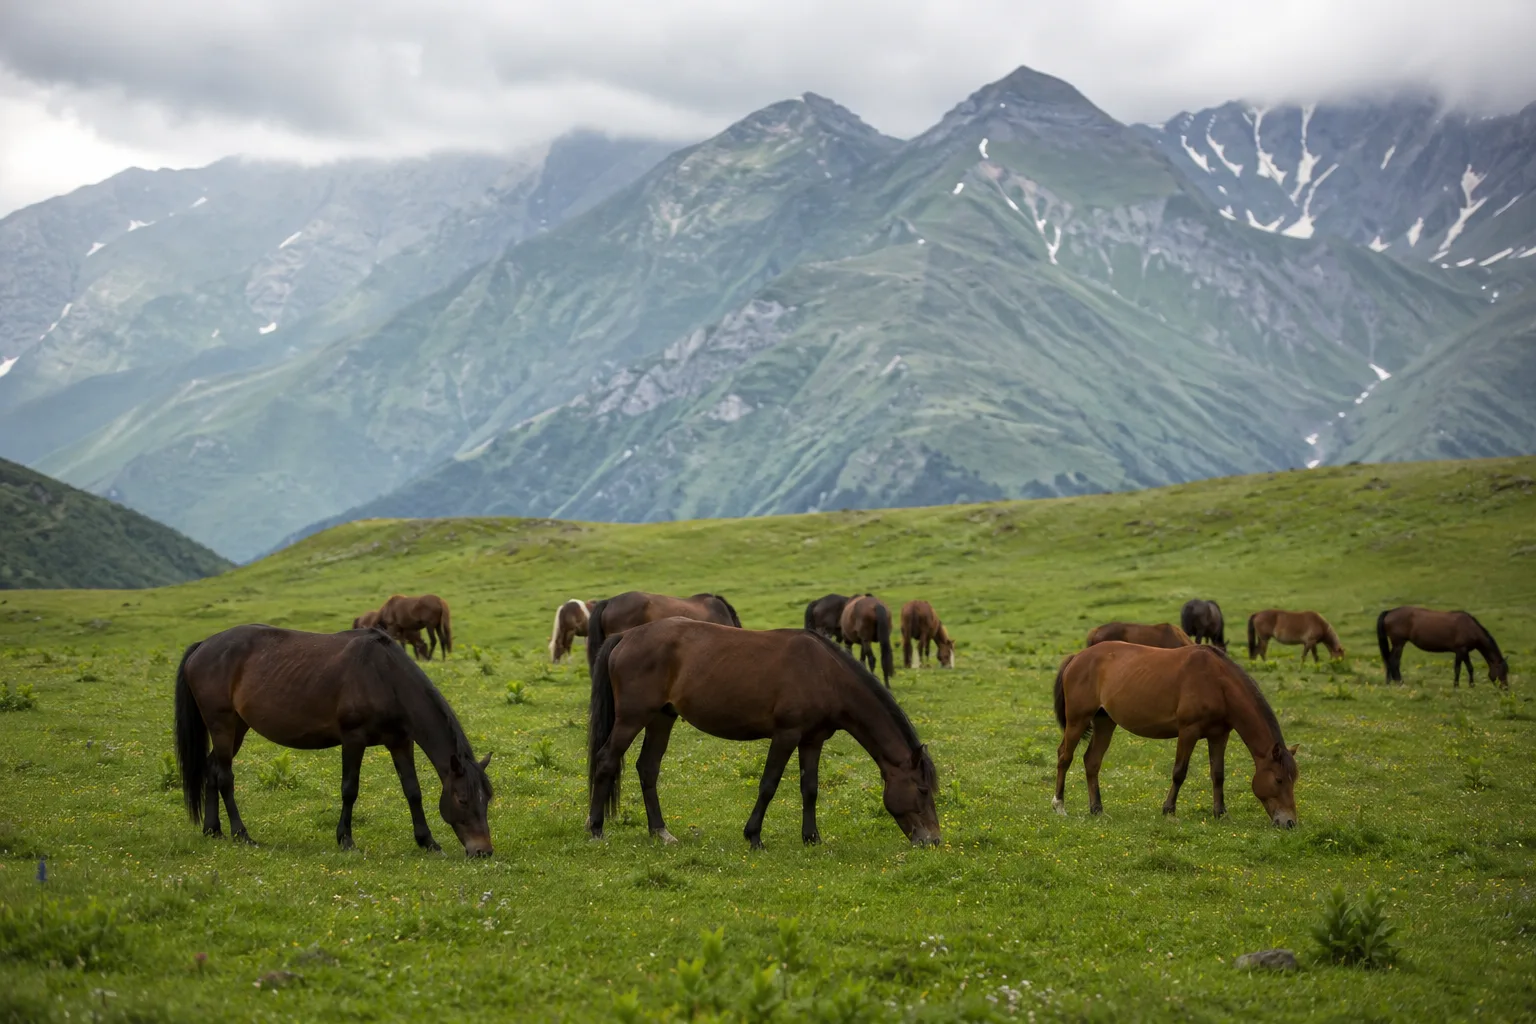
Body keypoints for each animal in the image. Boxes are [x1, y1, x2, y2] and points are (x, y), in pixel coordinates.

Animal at [173, 625, 494, 855]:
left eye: (487, 798)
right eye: (462, 799)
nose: (483, 851)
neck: (385, 676)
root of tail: (202, 646)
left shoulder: (400, 741)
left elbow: (413, 791)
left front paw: (428, 841)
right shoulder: (353, 739)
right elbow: (349, 789)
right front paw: (346, 840)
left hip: (237, 728)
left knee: (212, 769)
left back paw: (213, 830)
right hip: (222, 725)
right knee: (225, 776)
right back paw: (241, 834)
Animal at [585, 618, 939, 848]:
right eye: (922, 790)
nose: (934, 840)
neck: (824, 673)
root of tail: (626, 636)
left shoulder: (812, 740)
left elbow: (810, 788)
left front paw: (812, 838)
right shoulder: (786, 735)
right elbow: (768, 785)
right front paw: (754, 836)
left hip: (662, 718)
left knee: (648, 768)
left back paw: (660, 832)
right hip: (632, 718)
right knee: (605, 761)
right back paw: (596, 830)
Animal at [1052, 642, 1299, 826]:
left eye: (1293, 780)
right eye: (1278, 779)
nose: (1290, 823)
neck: (1218, 683)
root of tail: (1076, 657)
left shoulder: (1219, 735)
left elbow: (1218, 774)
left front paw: (1220, 813)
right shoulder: (1188, 731)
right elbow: (1179, 772)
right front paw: (1169, 810)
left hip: (1105, 722)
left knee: (1092, 761)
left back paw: (1097, 809)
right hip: (1077, 720)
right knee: (1065, 756)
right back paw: (1059, 806)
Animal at [1377, 606, 1508, 688]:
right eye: (1503, 671)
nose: (1506, 689)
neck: (1470, 628)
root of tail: (1389, 612)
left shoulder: (1463, 652)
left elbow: (1468, 668)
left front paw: (1470, 685)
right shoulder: (1461, 650)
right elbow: (1461, 668)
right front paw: (1458, 686)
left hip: (1397, 644)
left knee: (1389, 660)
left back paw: (1389, 682)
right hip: (1399, 644)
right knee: (1393, 661)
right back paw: (1399, 682)